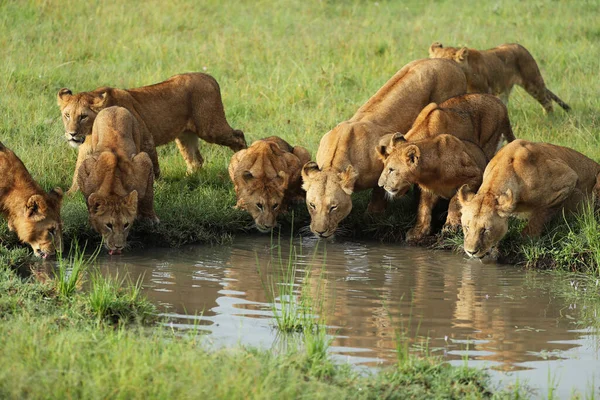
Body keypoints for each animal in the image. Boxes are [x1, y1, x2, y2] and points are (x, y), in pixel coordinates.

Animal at [58, 74, 246, 195]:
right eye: (67, 115)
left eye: (83, 116)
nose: (72, 134)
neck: (90, 131)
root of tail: (210, 78)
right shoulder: (86, 148)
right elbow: (78, 170)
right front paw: (70, 194)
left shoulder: (146, 137)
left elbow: (152, 168)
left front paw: (157, 189)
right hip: (185, 135)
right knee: (196, 160)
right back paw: (187, 180)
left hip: (210, 127)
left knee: (238, 136)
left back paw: (241, 167)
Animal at [77, 108, 157, 255]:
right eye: (109, 225)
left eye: (126, 225)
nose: (118, 247)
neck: (113, 187)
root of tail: (114, 107)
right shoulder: (84, 169)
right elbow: (88, 201)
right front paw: (91, 220)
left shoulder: (144, 163)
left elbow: (148, 196)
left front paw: (149, 218)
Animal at [302, 59, 466, 238]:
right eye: (312, 205)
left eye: (333, 207)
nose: (320, 232)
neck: (333, 165)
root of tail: (450, 62)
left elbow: (380, 188)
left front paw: (373, 215)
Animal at [428, 41, 568, 112]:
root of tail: (520, 46)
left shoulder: (482, 93)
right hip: (505, 90)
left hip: (533, 82)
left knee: (547, 100)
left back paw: (550, 119)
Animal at [458, 141, 596, 260]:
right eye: (467, 227)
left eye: (486, 230)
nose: (471, 252)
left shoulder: (568, 179)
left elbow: (540, 215)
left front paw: (527, 238)